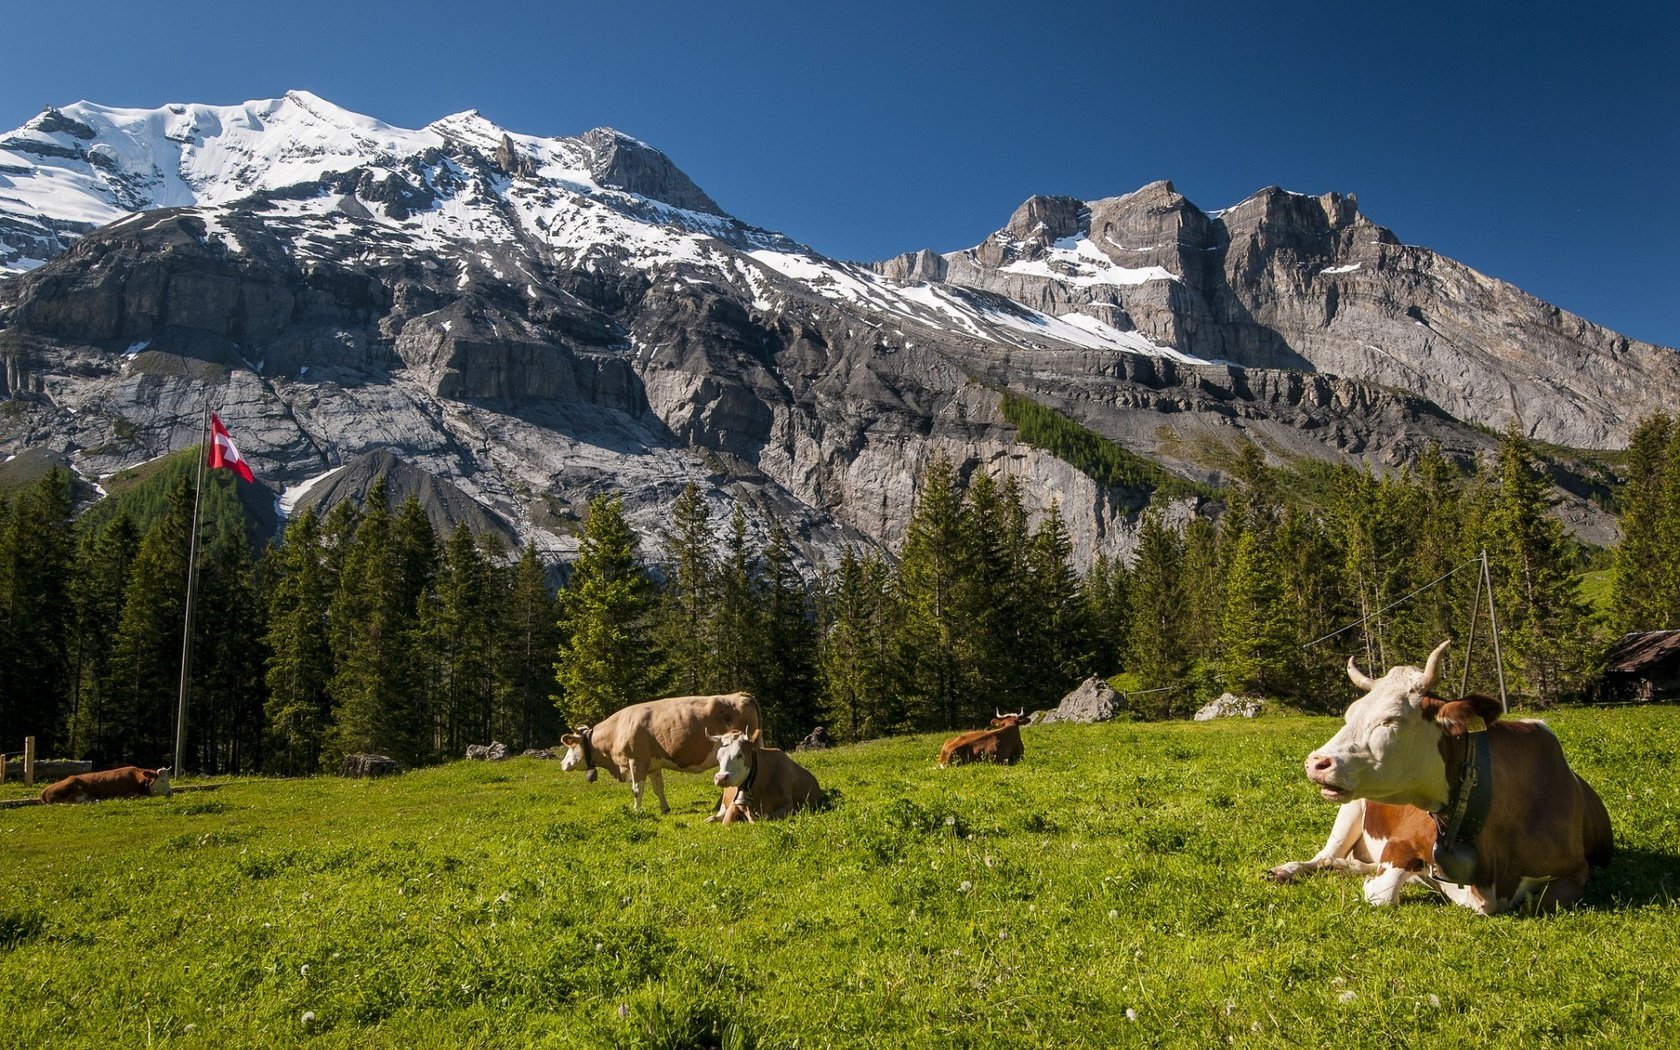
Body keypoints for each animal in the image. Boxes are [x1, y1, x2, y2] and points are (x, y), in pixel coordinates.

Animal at [40, 762, 172, 803]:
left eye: (168, 779)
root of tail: (44, 792)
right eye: (162, 780)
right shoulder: (127, 793)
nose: (170, 793)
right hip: (75, 786)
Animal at [564, 692, 762, 816]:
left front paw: (636, 810)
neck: (618, 729)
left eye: (571, 746)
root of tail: (741, 694)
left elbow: (637, 789)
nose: (563, 763)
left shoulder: (636, 761)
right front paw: (665, 808)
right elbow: (658, 788)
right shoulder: (653, 765)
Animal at [1270, 635, 1612, 913]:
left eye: (1391, 719)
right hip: (1351, 810)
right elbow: (1382, 893)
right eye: (1349, 714)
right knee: (1323, 856)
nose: (1316, 762)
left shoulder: (1577, 870)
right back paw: (1287, 869)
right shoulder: (1402, 842)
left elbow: (1541, 902)